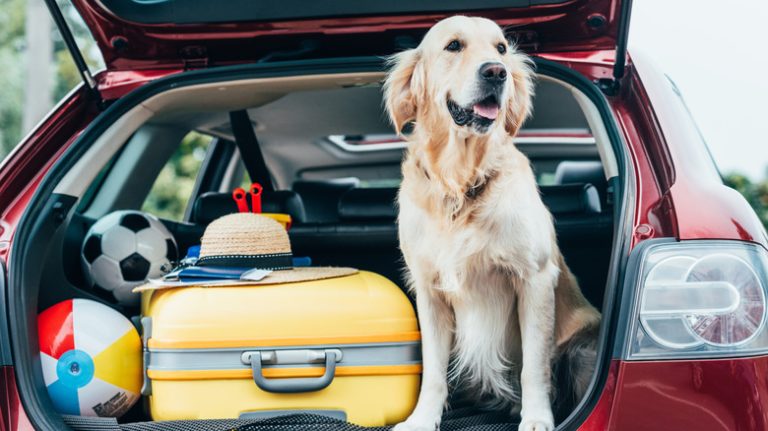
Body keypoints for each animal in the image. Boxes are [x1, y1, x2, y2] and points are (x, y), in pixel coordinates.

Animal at [382, 15, 600, 430]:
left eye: (500, 48)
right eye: (453, 45)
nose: (497, 72)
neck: (461, 182)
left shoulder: (534, 279)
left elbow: (534, 367)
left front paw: (537, 418)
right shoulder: (429, 290)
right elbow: (433, 371)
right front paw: (422, 418)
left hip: (584, 348)